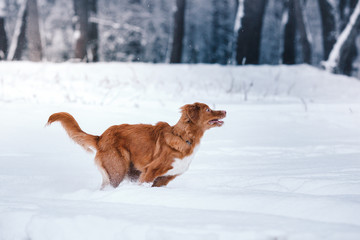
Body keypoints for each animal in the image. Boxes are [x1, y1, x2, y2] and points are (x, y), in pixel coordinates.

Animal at [46, 102, 226, 188]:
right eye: (208, 109)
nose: (225, 111)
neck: (184, 137)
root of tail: (101, 137)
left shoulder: (165, 178)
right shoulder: (150, 171)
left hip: (127, 171)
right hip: (118, 170)